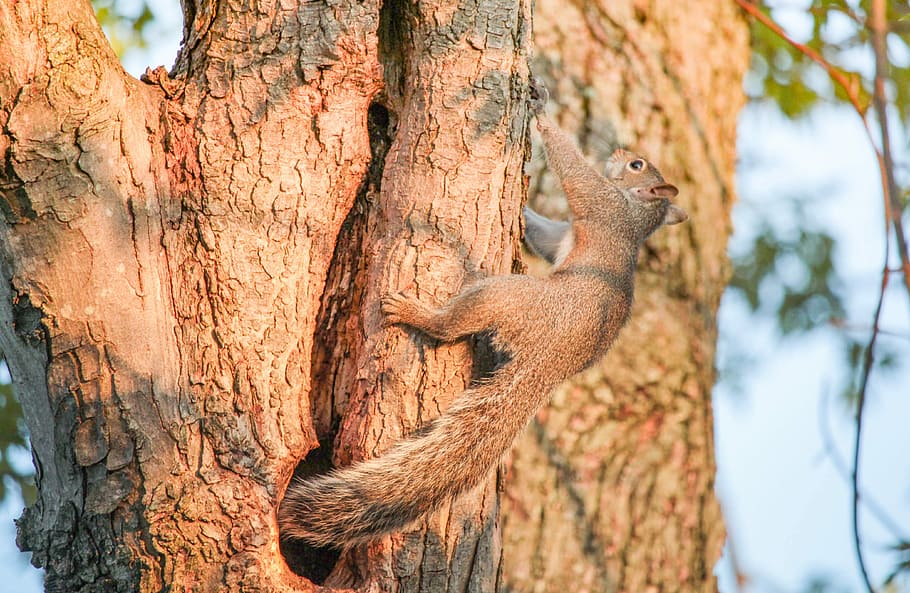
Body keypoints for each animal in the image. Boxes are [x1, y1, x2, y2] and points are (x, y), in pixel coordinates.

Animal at [278, 79, 688, 547]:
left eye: (637, 165)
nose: (619, 152)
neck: (635, 215)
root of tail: (550, 365)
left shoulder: (601, 204)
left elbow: (573, 170)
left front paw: (541, 109)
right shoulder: (574, 226)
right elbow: (546, 235)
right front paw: (523, 209)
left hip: (506, 296)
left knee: (452, 325)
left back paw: (417, 313)